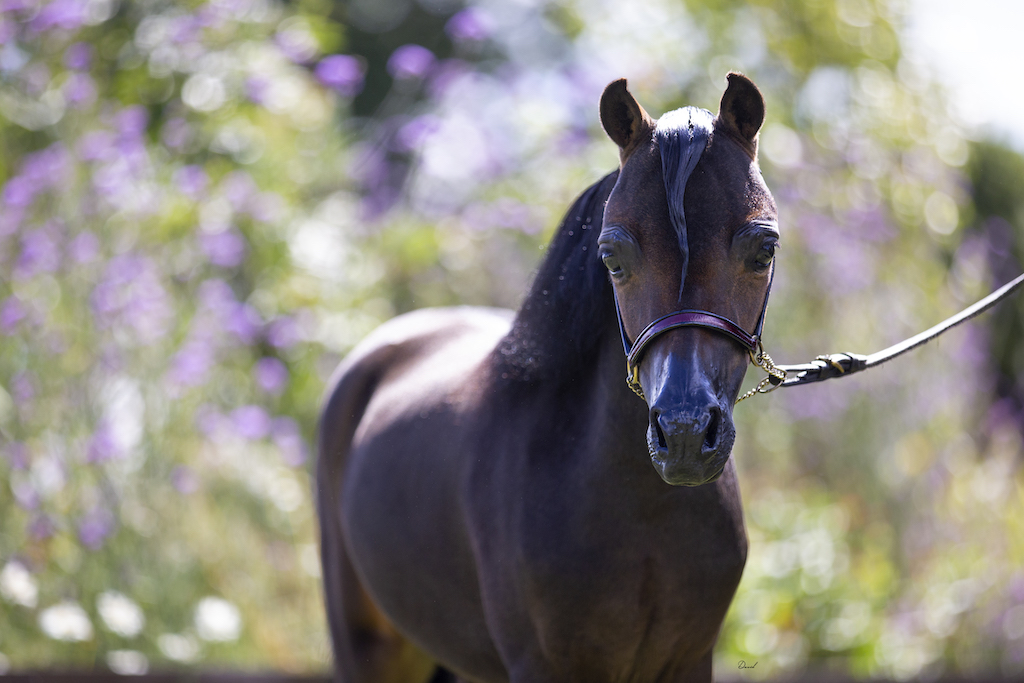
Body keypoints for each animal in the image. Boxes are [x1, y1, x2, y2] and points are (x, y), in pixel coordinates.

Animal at [317, 72, 779, 683]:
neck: (642, 514)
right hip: (367, 646)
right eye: (611, 257)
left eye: (764, 249)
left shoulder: (687, 660)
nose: (682, 435)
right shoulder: (540, 663)